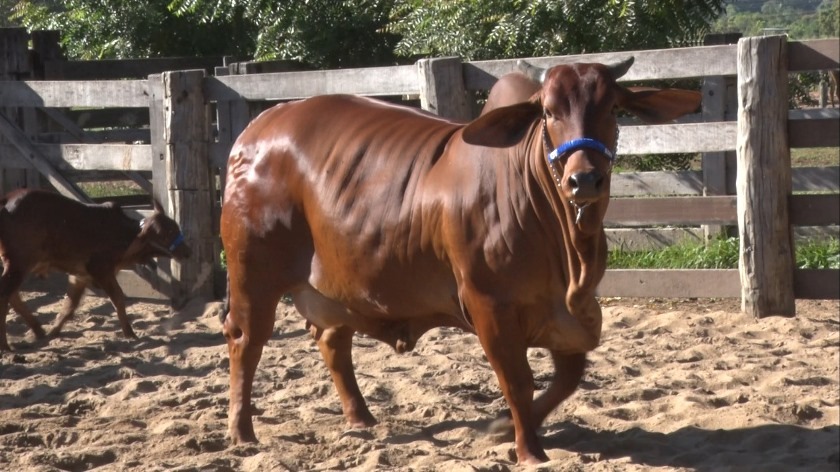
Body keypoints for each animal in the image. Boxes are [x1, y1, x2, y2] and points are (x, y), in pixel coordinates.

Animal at [0, 188, 192, 350]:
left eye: (175, 228)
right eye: (166, 234)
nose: (187, 252)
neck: (122, 233)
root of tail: (6, 202)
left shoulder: (80, 276)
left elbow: (69, 306)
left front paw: (53, 332)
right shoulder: (102, 271)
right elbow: (118, 298)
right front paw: (130, 334)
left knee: (13, 296)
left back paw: (38, 330)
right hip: (19, 264)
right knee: (6, 294)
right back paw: (6, 346)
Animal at [220, 57, 700, 462]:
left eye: (614, 108)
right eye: (548, 112)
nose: (584, 179)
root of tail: (255, 129)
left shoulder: (569, 313)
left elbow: (568, 377)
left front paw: (502, 427)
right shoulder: (489, 304)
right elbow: (518, 381)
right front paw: (529, 451)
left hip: (336, 286)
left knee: (333, 341)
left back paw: (362, 418)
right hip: (252, 273)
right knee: (246, 340)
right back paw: (242, 433)